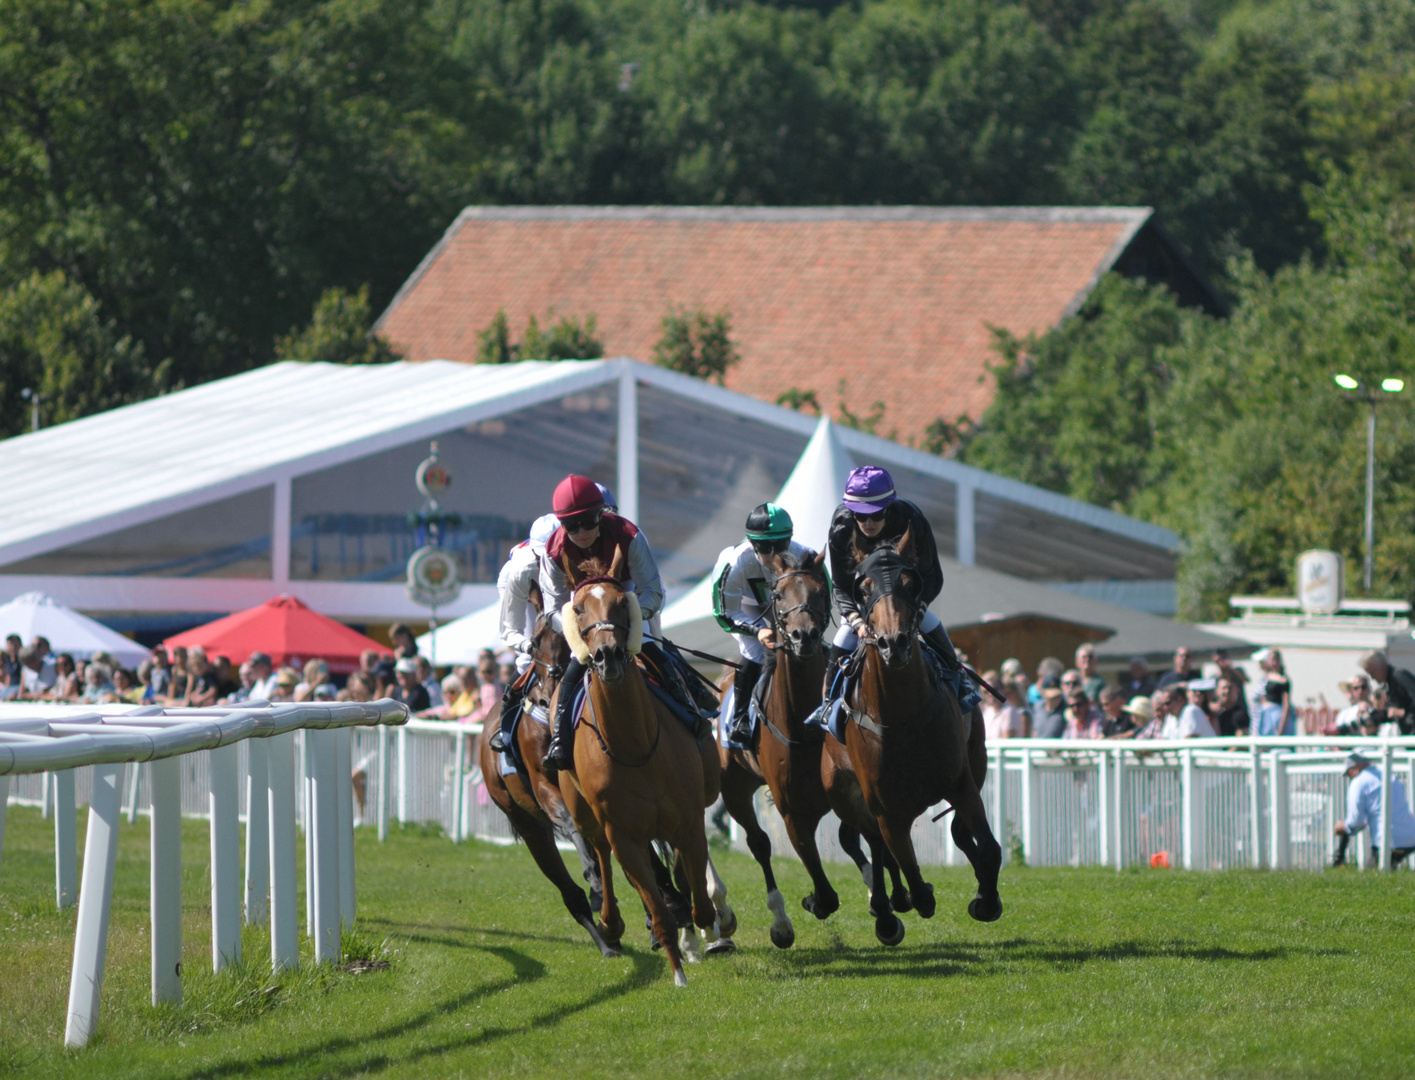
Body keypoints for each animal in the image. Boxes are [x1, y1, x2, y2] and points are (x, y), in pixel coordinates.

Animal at [475, 602, 619, 956]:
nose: (552, 689)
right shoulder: (542, 785)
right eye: (537, 640)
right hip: (527, 824)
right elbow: (569, 823)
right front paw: (594, 880)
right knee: (570, 890)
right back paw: (604, 936)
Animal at [551, 557, 724, 990]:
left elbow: (697, 897)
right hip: (587, 815)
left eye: (619, 602)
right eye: (578, 608)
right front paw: (678, 970)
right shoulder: (624, 834)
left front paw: (709, 930)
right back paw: (611, 922)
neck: (635, 744)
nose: (607, 655)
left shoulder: (689, 820)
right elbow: (657, 907)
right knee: (602, 855)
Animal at [815, 529, 1001, 945]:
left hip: (976, 760)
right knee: (872, 846)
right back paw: (887, 913)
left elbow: (989, 848)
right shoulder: (885, 809)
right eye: (863, 587)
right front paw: (908, 900)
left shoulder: (961, 782)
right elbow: (907, 868)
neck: (902, 717)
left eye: (910, 582)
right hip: (843, 793)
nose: (893, 642)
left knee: (958, 834)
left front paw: (987, 901)